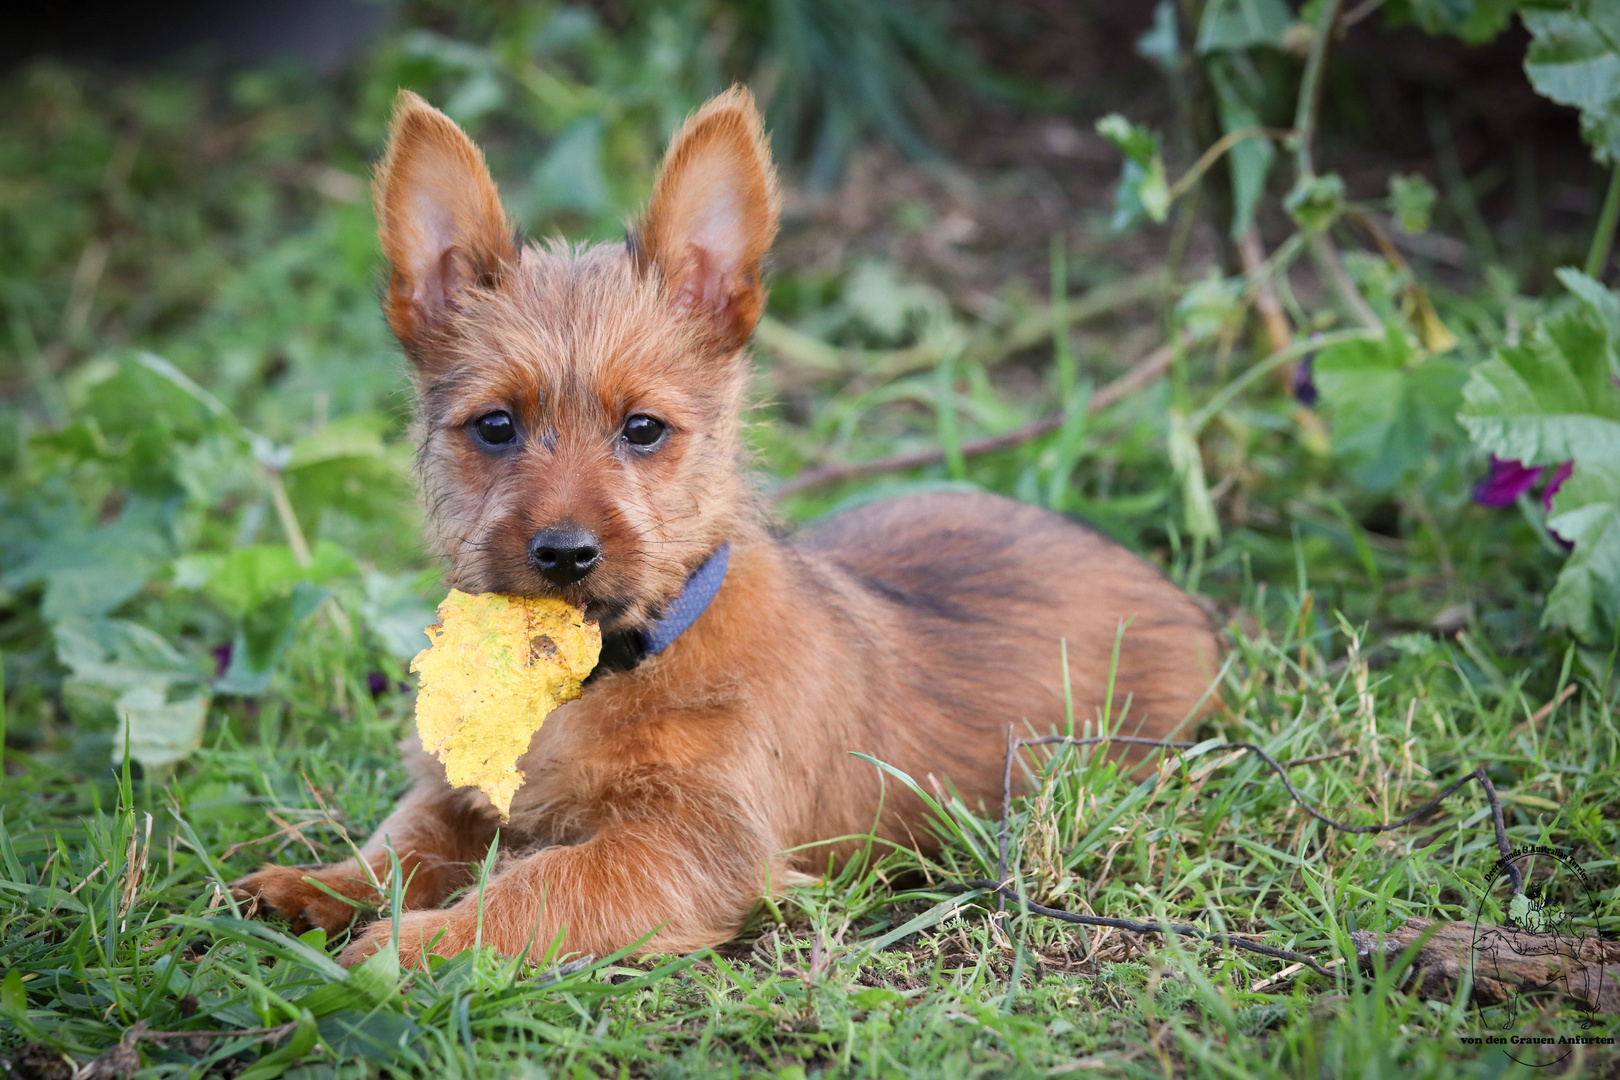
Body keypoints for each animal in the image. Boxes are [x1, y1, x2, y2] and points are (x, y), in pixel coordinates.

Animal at [231, 82, 1218, 965]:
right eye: (495, 427)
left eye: (642, 429)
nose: (564, 553)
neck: (593, 675)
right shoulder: (460, 790)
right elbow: (401, 841)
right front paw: (315, 887)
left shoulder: (680, 853)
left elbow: (540, 887)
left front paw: (416, 945)